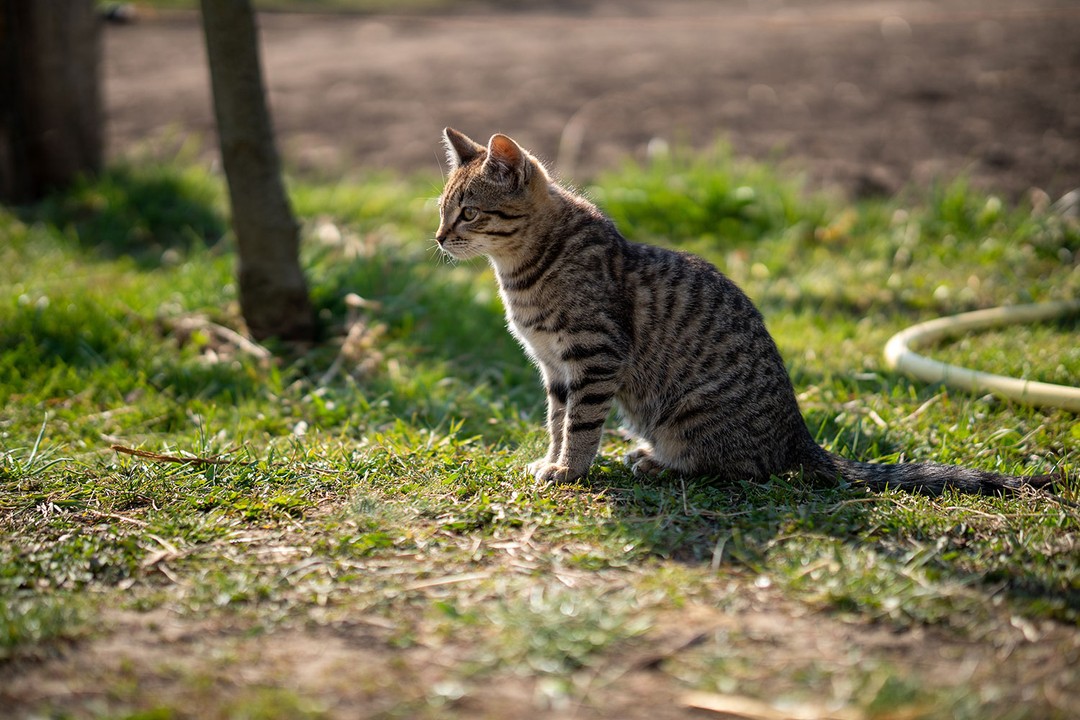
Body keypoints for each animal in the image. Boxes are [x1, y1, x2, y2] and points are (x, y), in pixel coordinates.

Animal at [434, 127, 1058, 496]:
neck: (522, 273)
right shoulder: (554, 367)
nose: (438, 238)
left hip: (689, 412)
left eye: (469, 213)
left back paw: (660, 462)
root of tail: (799, 434)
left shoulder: (594, 355)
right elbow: (557, 420)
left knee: (743, 467)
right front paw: (553, 459)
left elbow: (582, 424)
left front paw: (570, 470)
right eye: (442, 210)